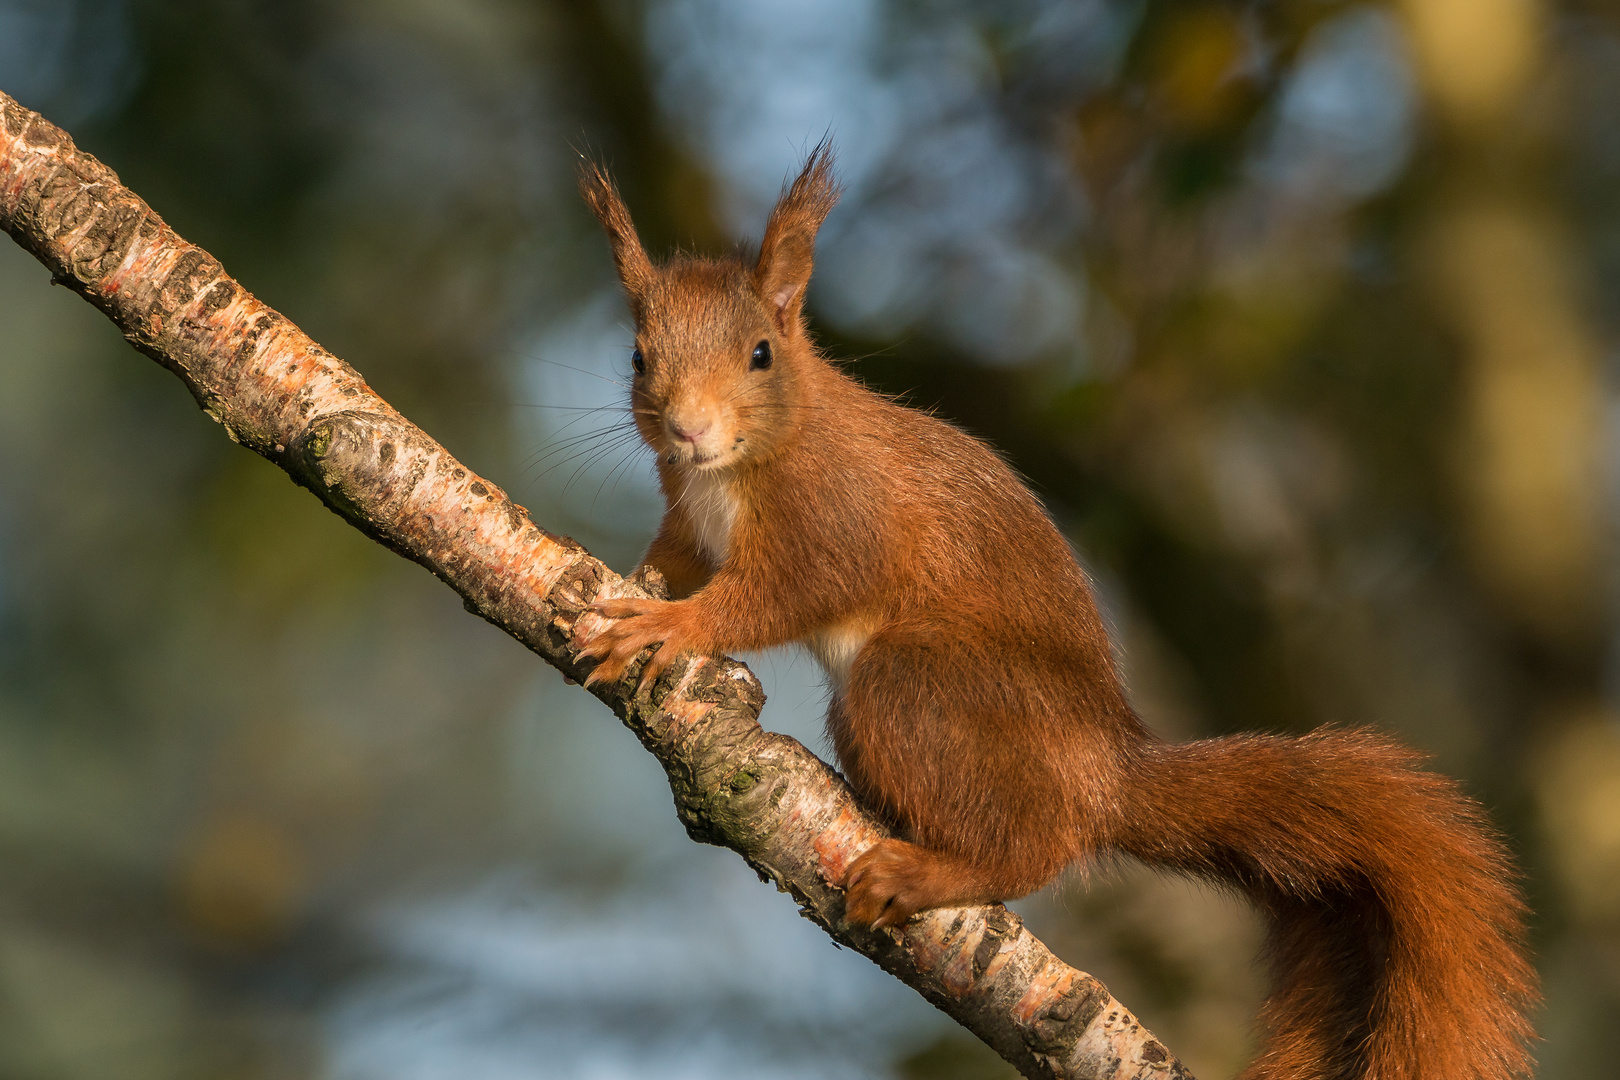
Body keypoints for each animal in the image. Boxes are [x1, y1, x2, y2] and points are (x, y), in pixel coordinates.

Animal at [576, 148, 1535, 1080]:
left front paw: (674, 627)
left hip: (921, 689)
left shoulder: (835, 520)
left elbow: (787, 593)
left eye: (762, 354)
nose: (689, 430)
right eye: (637, 356)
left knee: (1031, 849)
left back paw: (929, 874)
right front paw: (640, 585)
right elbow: (676, 560)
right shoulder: (688, 515)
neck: (739, 465)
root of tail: (1107, 771)